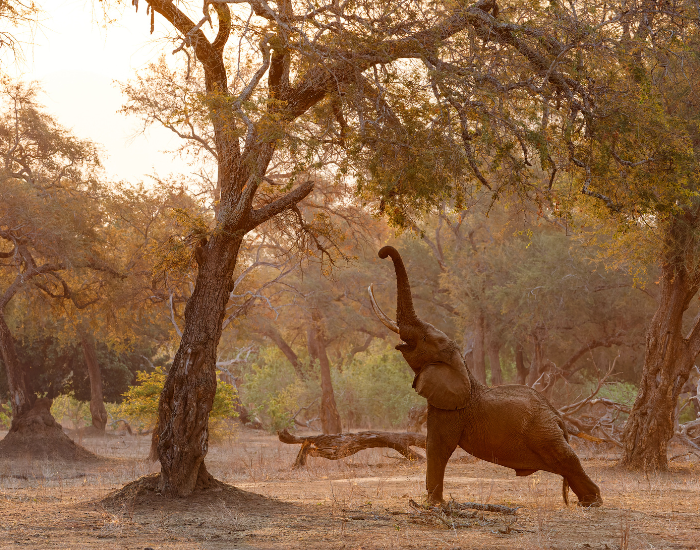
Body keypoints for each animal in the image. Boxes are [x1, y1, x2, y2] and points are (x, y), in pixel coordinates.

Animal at [369, 245, 603, 507]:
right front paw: (433, 503)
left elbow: (438, 447)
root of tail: (558, 416)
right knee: (565, 464)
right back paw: (586, 501)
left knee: (567, 459)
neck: (463, 369)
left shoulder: (452, 411)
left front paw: (433, 505)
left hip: (544, 433)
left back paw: (593, 502)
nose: (381, 253)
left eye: (427, 340)